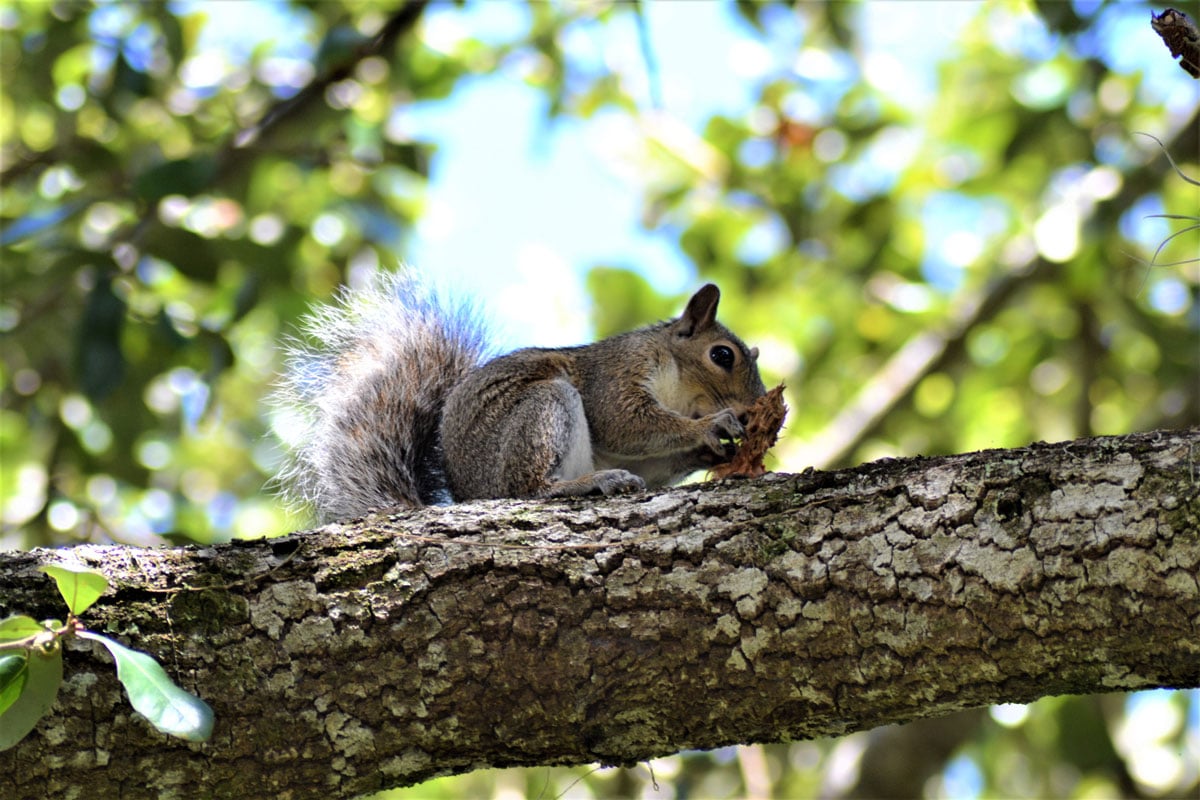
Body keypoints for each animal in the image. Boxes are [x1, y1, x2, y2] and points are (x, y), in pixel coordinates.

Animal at [272, 272, 763, 522]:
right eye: (722, 355)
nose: (749, 410)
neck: (679, 388)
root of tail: (470, 496)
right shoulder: (615, 374)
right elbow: (625, 423)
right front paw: (711, 426)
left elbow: (650, 464)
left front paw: (711, 451)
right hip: (543, 409)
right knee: (528, 489)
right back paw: (583, 484)